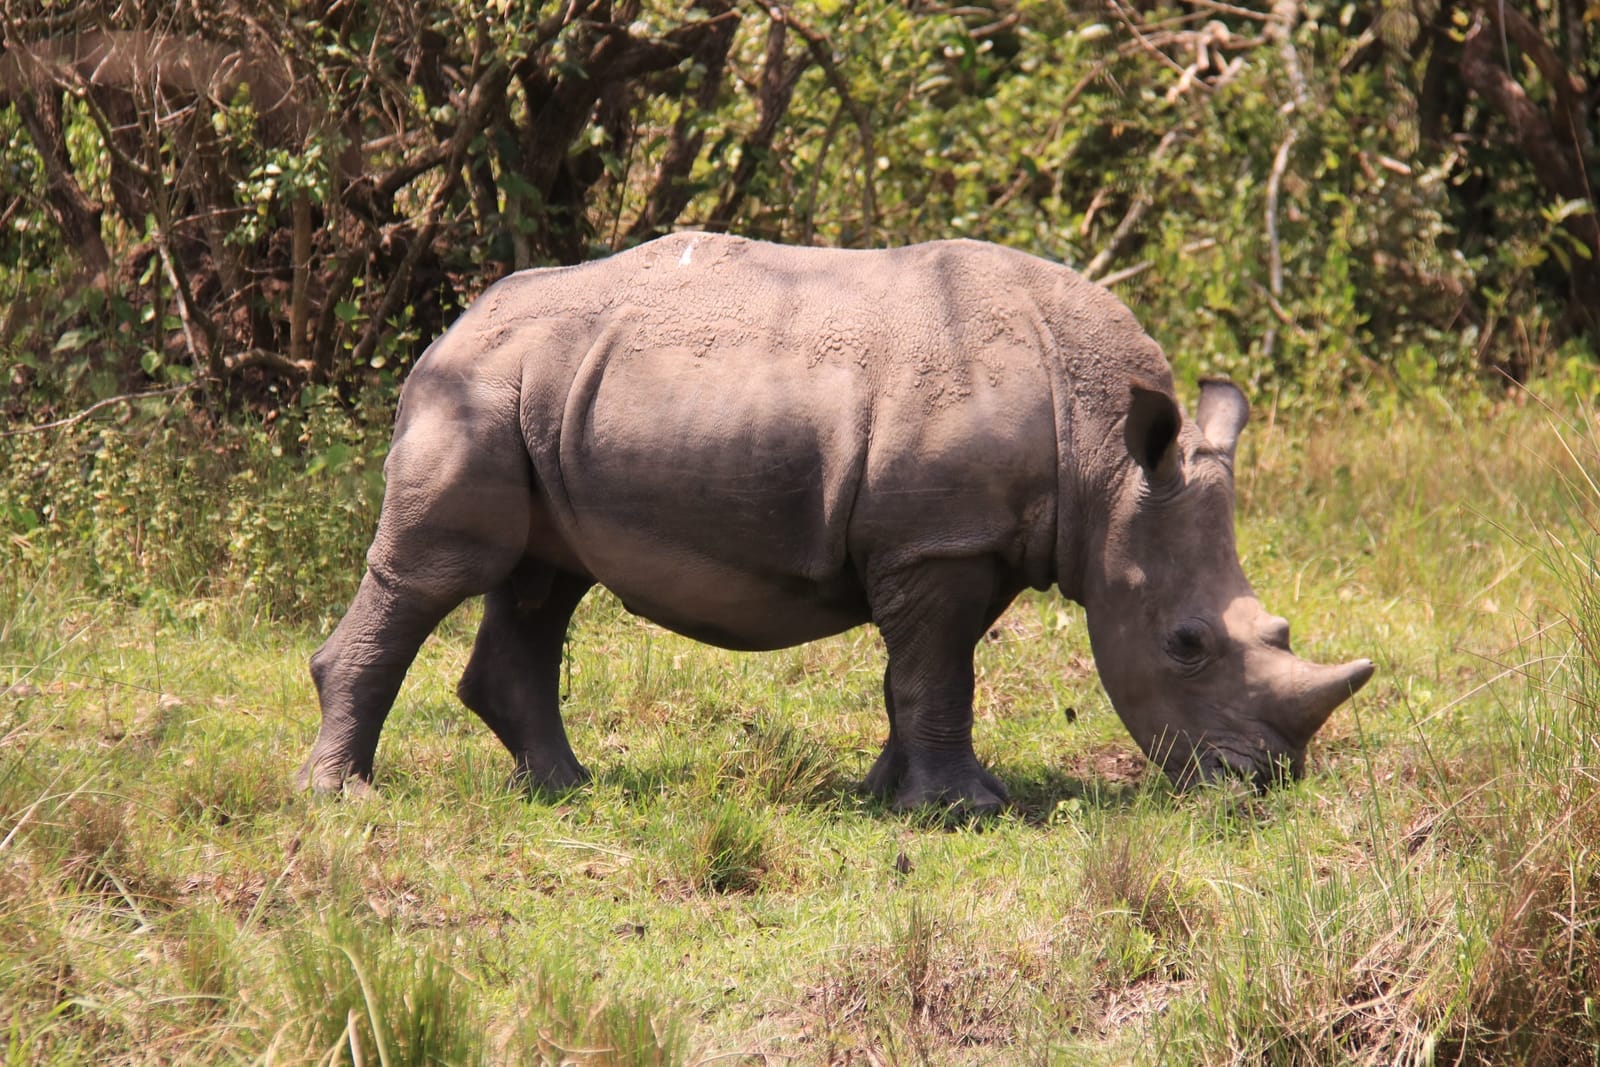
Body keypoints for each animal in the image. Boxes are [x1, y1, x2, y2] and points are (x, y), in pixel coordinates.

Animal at [299, 232, 1373, 812]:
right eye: (1186, 643)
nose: (1263, 782)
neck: (1107, 462)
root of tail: (452, 327)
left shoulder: (957, 541)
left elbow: (923, 672)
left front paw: (890, 797)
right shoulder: (941, 543)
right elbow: (940, 669)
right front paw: (968, 810)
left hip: (547, 392)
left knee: (544, 582)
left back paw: (568, 787)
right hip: (475, 387)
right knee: (438, 569)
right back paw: (339, 796)